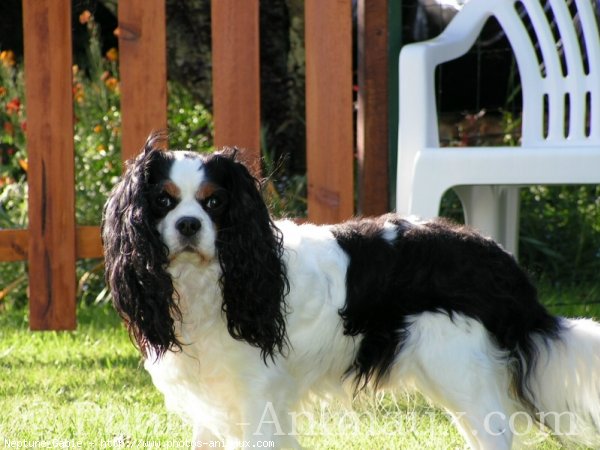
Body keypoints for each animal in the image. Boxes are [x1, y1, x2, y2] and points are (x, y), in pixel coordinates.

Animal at [102, 133, 600, 450]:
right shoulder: (214, 398)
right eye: (162, 201)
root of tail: (500, 259)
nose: (189, 225)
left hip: (461, 371)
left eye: (215, 202)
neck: (213, 282)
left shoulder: (258, 395)